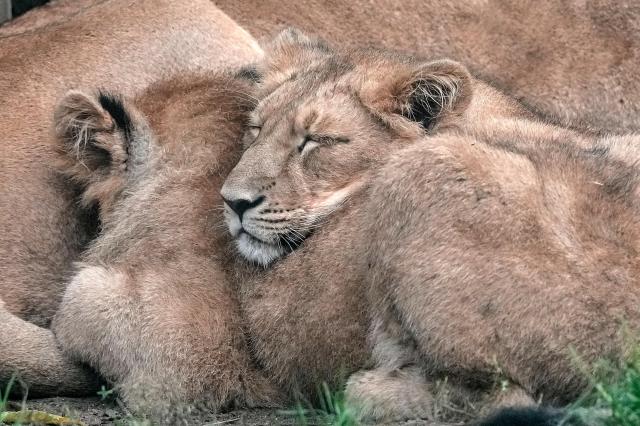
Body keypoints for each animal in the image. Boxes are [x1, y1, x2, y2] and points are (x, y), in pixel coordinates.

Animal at [220, 30, 640, 422]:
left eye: (317, 140)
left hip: (421, 169)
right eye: (256, 129)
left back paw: (368, 391)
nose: (232, 201)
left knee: (502, 396)